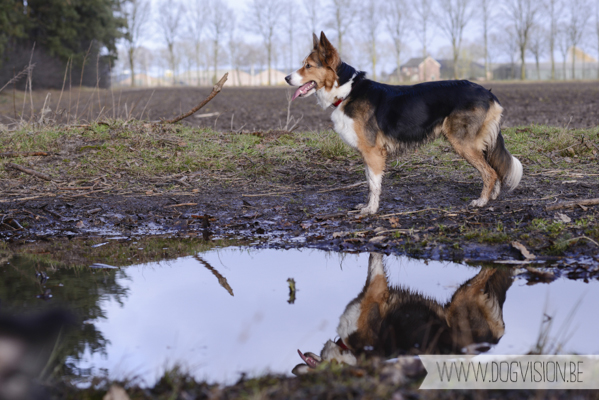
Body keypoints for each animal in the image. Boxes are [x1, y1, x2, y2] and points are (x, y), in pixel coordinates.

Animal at [284, 33, 524, 216]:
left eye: (308, 66)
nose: (286, 78)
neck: (346, 91)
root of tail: (488, 93)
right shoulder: (368, 153)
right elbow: (369, 181)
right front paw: (367, 205)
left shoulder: (373, 152)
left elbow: (374, 184)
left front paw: (371, 210)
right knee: (494, 170)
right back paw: (492, 196)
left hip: (462, 143)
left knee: (489, 172)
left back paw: (481, 202)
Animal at [292, 253, 512, 376]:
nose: (295, 369)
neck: (351, 352)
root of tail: (493, 340)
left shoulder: (375, 290)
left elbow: (374, 261)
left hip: (462, 298)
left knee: (487, 271)